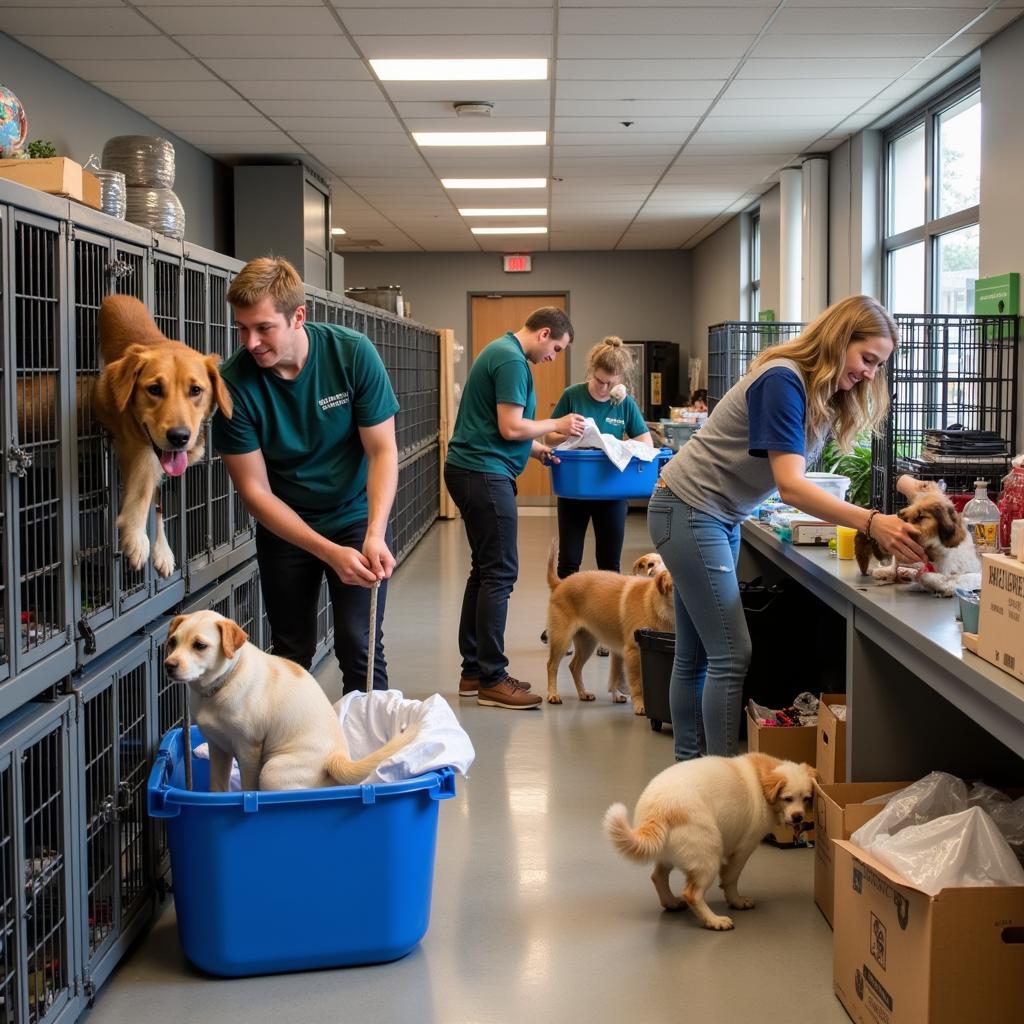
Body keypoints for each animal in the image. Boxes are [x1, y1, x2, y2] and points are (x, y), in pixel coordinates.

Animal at [94, 294, 232, 577]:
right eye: (154, 389)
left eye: (196, 390)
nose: (179, 436)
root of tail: (117, 296)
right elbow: (144, 481)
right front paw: (135, 535)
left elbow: (158, 500)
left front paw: (162, 551)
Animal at [161, 606, 413, 790]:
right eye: (172, 642)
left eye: (200, 645)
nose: (168, 666)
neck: (223, 683)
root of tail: (336, 759)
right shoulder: (217, 747)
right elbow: (217, 786)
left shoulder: (249, 749)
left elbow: (248, 787)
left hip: (272, 770)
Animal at [548, 544, 675, 712]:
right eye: (650, 564)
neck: (655, 603)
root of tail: (561, 583)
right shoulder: (632, 651)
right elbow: (637, 683)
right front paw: (640, 704)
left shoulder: (619, 652)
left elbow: (615, 674)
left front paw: (617, 695)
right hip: (561, 640)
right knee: (552, 666)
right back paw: (552, 695)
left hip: (587, 643)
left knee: (574, 667)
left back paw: (583, 693)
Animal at [602, 753, 819, 929]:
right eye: (787, 798)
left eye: (807, 798)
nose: (799, 817)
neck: (761, 779)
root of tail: (659, 811)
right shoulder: (743, 849)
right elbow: (731, 878)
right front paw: (736, 901)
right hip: (710, 854)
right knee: (692, 893)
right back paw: (714, 920)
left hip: (669, 855)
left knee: (658, 877)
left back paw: (671, 902)